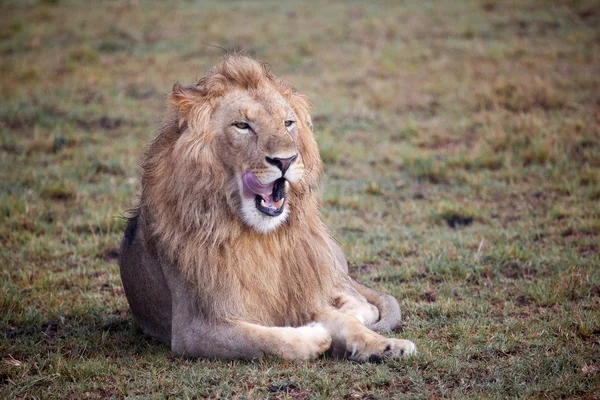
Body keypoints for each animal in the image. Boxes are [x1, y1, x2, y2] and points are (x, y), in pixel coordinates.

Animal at [119, 54, 414, 362]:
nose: (285, 160)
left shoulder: (302, 295)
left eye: (288, 123)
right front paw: (316, 336)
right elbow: (265, 339)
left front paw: (387, 345)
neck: (260, 237)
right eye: (242, 125)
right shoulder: (194, 328)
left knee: (362, 303)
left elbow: (344, 322)